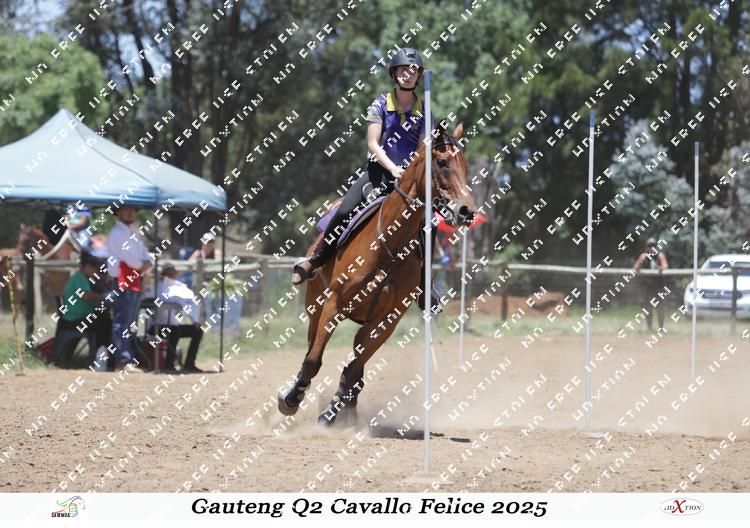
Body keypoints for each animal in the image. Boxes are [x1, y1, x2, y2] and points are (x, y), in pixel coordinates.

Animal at [278, 122, 478, 427]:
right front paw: (291, 400)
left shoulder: (386, 322)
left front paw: (331, 415)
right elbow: (313, 360)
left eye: (465, 164)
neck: (390, 246)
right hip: (315, 304)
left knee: (355, 367)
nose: (467, 210)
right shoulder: (334, 304)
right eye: (443, 162)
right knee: (312, 348)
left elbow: (352, 370)